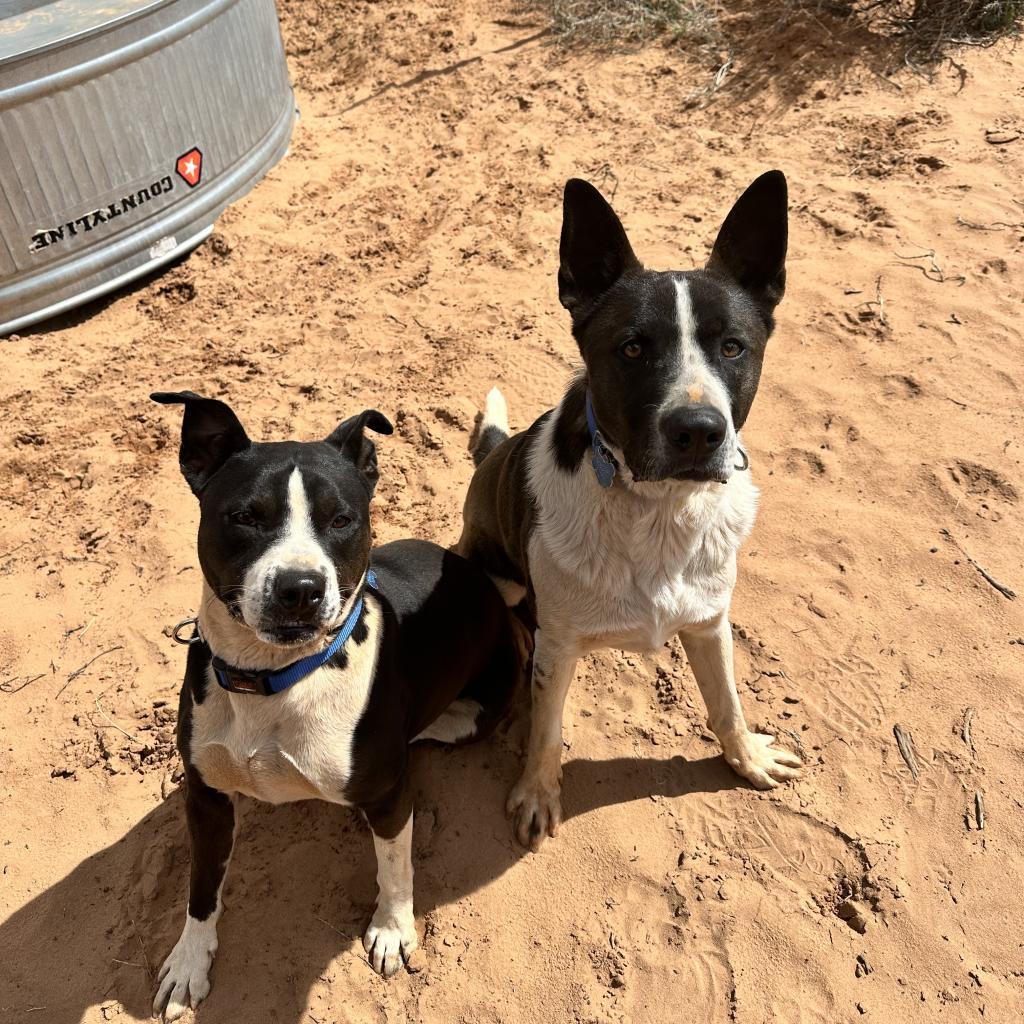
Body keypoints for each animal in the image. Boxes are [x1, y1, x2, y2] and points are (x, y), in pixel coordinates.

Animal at [149, 389, 520, 1015]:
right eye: (245, 517)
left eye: (342, 519)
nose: (299, 588)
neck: (275, 678)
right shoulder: (206, 795)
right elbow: (201, 886)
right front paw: (189, 961)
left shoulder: (390, 795)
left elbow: (394, 867)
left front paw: (393, 930)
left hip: (473, 717)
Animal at [456, 174, 798, 847]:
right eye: (633, 348)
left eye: (733, 347)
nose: (699, 431)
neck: (658, 513)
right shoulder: (559, 646)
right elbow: (546, 732)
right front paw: (537, 793)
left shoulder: (710, 621)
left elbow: (727, 702)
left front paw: (746, 756)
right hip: (495, 574)